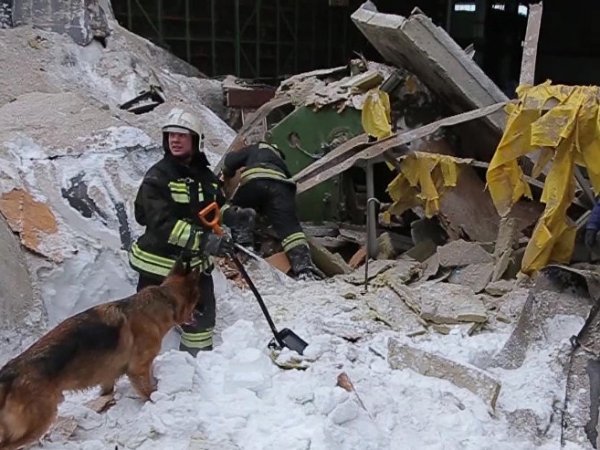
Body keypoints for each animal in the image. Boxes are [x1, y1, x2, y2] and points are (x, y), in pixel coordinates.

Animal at [0, 258, 202, 448]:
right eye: (198, 298)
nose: (202, 314)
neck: (166, 299)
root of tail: (10, 372)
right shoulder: (138, 369)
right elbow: (149, 392)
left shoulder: (108, 378)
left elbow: (108, 392)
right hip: (40, 420)